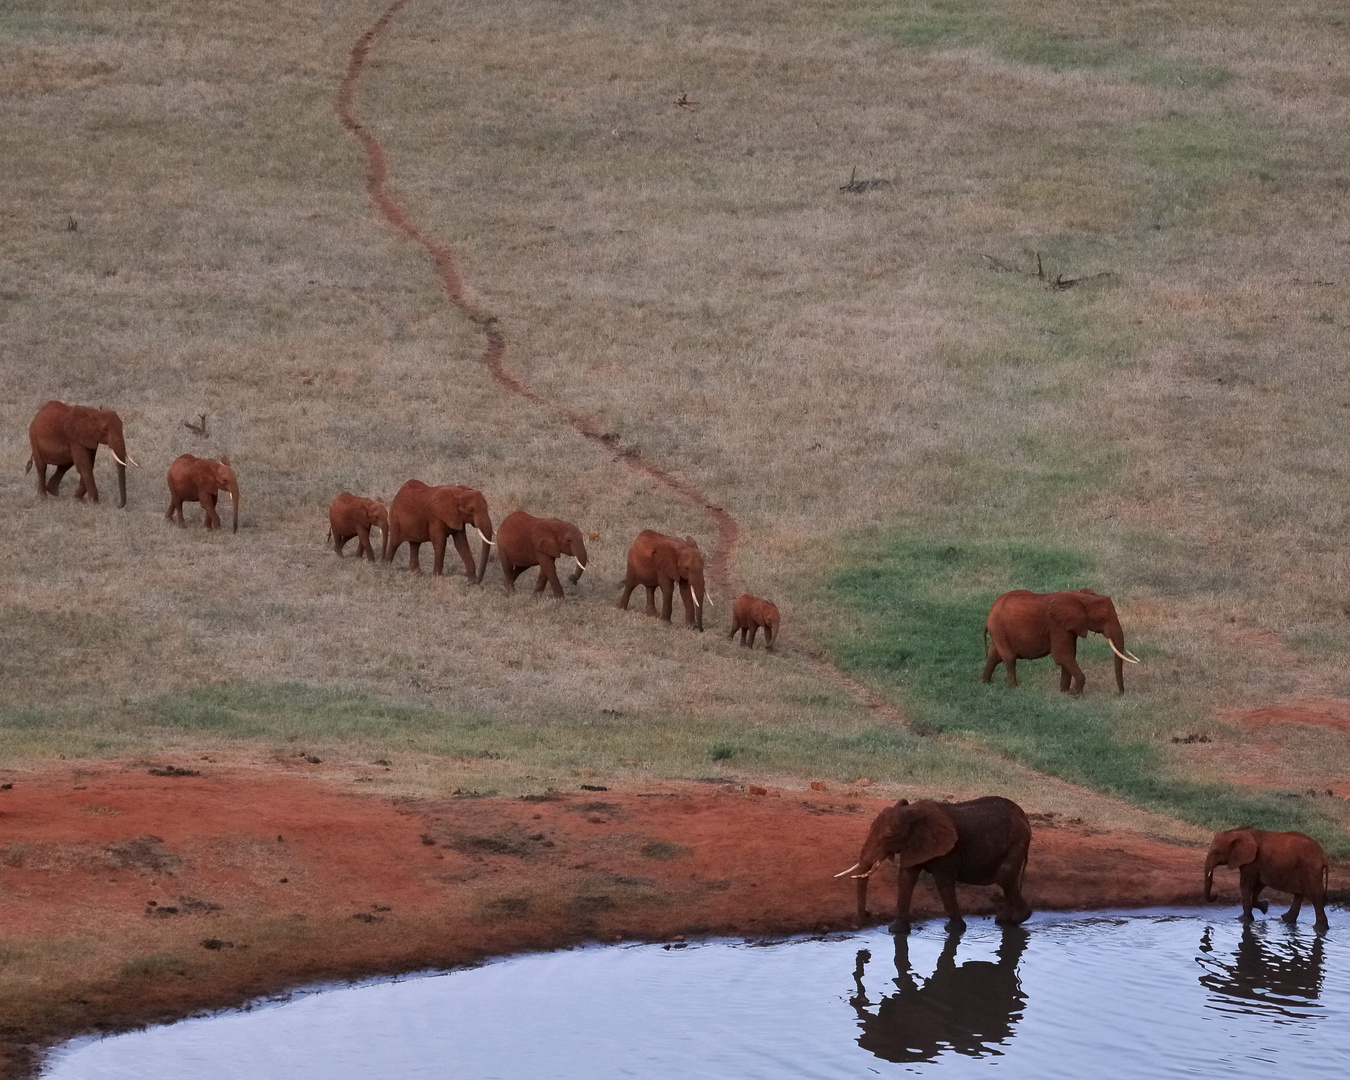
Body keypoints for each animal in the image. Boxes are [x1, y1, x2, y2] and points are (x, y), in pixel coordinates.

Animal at [831, 793, 1031, 934]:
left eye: (888, 837)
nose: (867, 915)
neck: (911, 813)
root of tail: (1025, 817)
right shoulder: (913, 843)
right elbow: (906, 877)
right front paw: (895, 930)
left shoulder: (948, 849)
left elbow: (943, 881)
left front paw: (954, 930)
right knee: (1006, 879)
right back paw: (1003, 920)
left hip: (1017, 839)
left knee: (1004, 876)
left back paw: (1018, 919)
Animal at [982, 585, 1139, 696]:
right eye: (1102, 618)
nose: (1120, 694)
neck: (1082, 597)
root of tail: (991, 610)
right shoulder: (1057, 626)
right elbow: (1062, 655)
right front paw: (1074, 694)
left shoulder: (1069, 627)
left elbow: (1069, 656)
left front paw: (1064, 692)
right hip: (998, 628)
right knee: (1009, 657)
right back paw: (1013, 687)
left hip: (998, 631)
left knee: (994, 656)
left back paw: (986, 683)